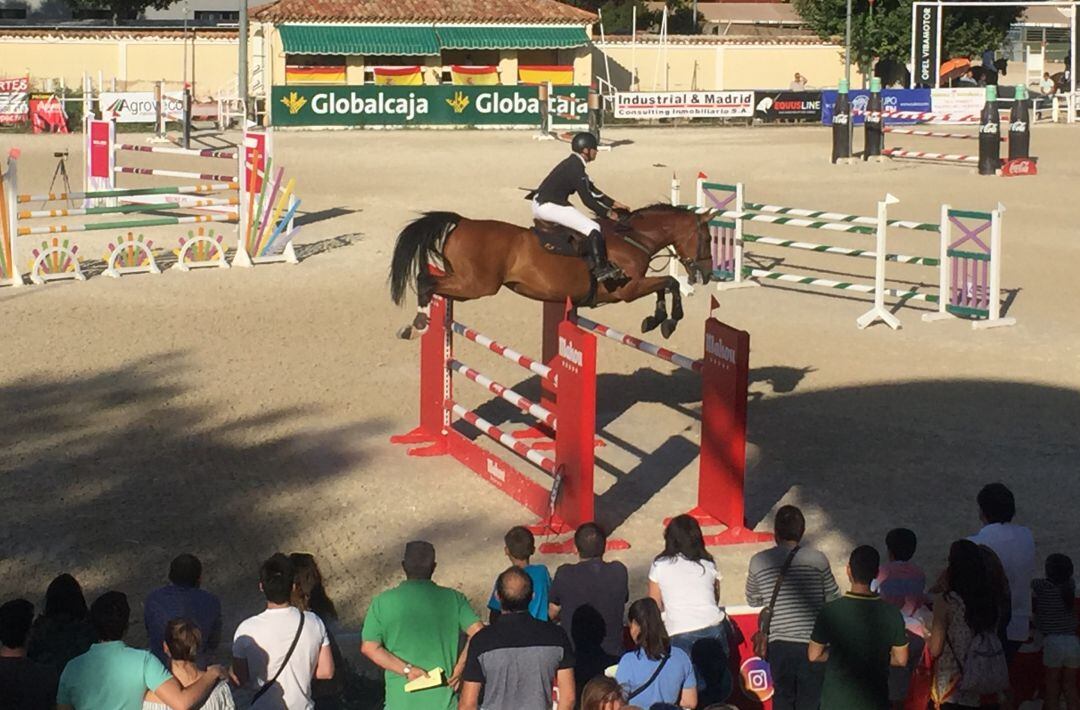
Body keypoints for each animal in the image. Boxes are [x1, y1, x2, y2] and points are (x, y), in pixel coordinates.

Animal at [388, 203, 717, 339]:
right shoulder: (628, 289)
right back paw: (418, 324)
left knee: (429, 281)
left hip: (467, 286)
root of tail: (463, 222)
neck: (633, 237)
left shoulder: (636, 286)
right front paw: (668, 320)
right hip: (476, 285)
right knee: (426, 282)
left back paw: (415, 324)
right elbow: (670, 282)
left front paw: (655, 319)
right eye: (709, 238)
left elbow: (665, 285)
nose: (708, 273)